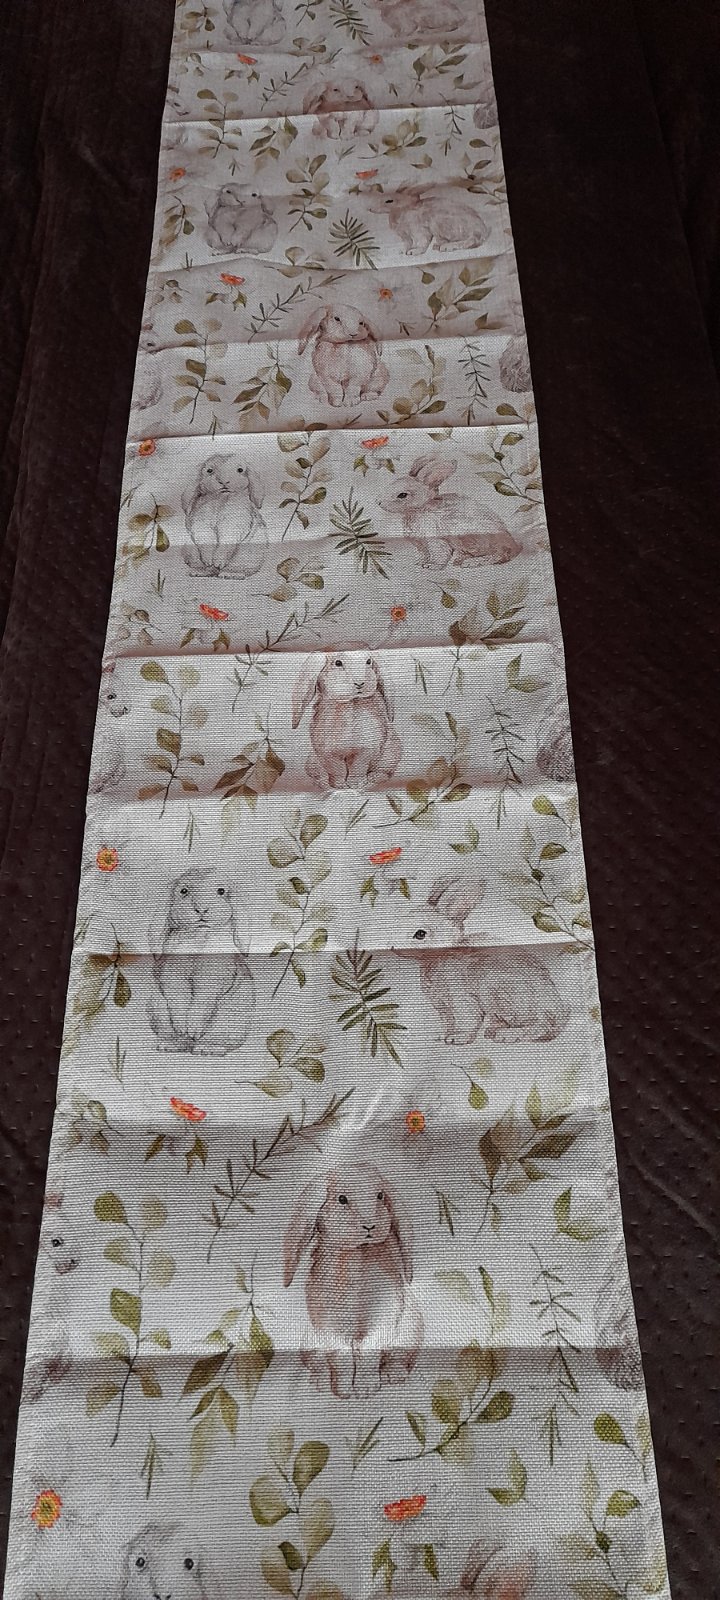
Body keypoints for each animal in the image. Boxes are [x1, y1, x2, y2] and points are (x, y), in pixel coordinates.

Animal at [147, 869, 255, 1055]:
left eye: (221, 891)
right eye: (183, 891)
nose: (201, 909)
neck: (199, 937)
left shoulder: (213, 978)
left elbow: (203, 999)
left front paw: (193, 1028)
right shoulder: (172, 974)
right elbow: (178, 997)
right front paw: (183, 1027)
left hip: (228, 1020)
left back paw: (207, 1048)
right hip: (158, 1008)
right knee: (177, 1037)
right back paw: (171, 1045)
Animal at [282, 1161, 423, 1398]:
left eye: (380, 1195)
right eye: (342, 1199)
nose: (369, 1225)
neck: (357, 1255)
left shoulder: (383, 1317)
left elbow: (368, 1353)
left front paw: (366, 1388)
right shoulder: (329, 1324)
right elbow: (342, 1358)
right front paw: (344, 1390)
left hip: (410, 1330)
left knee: (397, 1357)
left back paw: (393, 1375)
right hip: (310, 1342)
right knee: (318, 1363)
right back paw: (320, 1382)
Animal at [291, 651, 401, 789]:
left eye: (368, 661)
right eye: (338, 663)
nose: (360, 683)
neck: (350, 703)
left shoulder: (365, 750)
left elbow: (358, 769)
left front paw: (356, 785)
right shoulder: (328, 753)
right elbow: (337, 770)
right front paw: (339, 786)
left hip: (390, 755)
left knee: (383, 773)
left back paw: (372, 780)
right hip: (312, 763)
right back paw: (322, 783)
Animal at [379, 456, 521, 569]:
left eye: (402, 495)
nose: (378, 502)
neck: (419, 510)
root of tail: (513, 544)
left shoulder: (436, 540)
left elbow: (440, 554)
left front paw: (432, 566)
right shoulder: (422, 545)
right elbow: (424, 554)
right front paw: (420, 562)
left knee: (499, 555)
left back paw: (470, 562)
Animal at [400, 872, 570, 1044]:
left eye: (420, 934)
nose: (394, 947)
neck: (440, 955)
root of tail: (559, 1012)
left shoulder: (462, 997)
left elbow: (468, 1020)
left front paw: (457, 1038)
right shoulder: (443, 1007)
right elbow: (448, 1021)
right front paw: (443, 1036)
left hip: (502, 992)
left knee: (541, 1027)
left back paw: (507, 1034)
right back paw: (491, 1031)